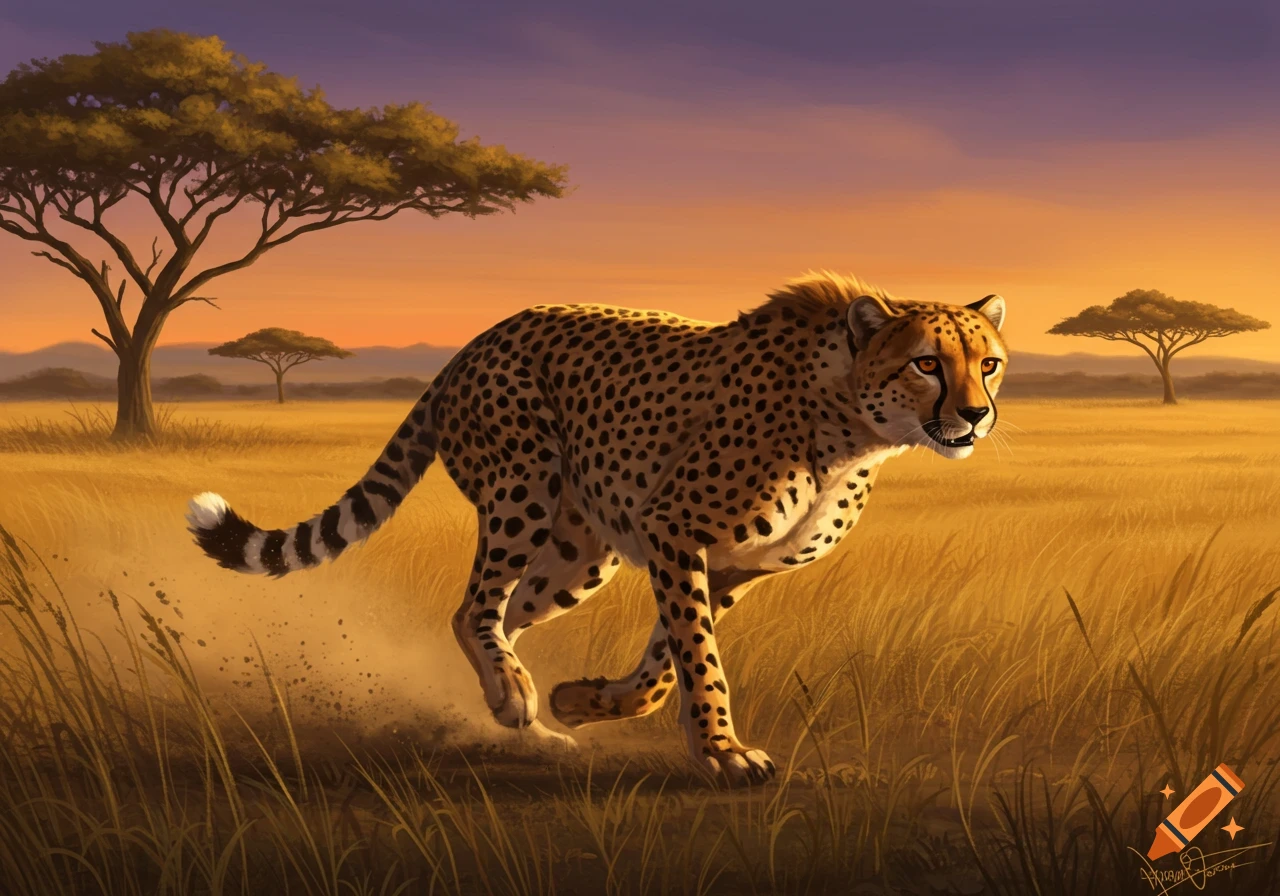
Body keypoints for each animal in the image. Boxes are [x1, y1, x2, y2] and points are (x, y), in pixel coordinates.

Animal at [187, 271, 1008, 785]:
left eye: (990, 364)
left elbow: (665, 664)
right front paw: (722, 753)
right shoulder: (675, 528)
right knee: (476, 605)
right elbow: (699, 655)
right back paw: (511, 695)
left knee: (497, 615)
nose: (976, 416)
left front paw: (586, 702)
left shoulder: (730, 562)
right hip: (523, 487)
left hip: (580, 554)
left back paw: (525, 714)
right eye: (927, 363)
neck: (849, 422)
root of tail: (482, 336)